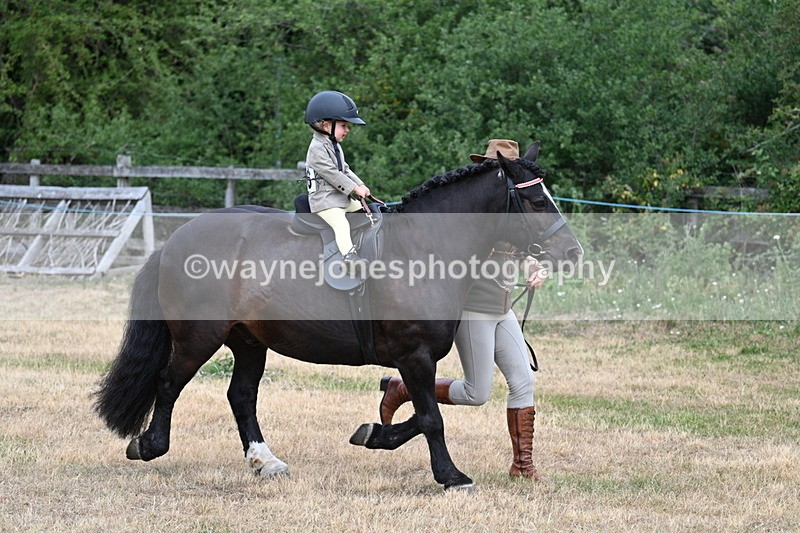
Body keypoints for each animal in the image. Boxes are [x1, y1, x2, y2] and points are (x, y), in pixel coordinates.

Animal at [94, 143, 583, 490]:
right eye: (536, 202)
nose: (573, 253)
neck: (424, 246)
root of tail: (176, 240)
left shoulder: (420, 359)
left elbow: (419, 415)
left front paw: (374, 434)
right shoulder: (415, 355)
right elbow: (431, 419)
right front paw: (451, 477)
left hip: (249, 341)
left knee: (241, 396)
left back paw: (264, 461)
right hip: (199, 338)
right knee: (168, 384)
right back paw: (149, 445)